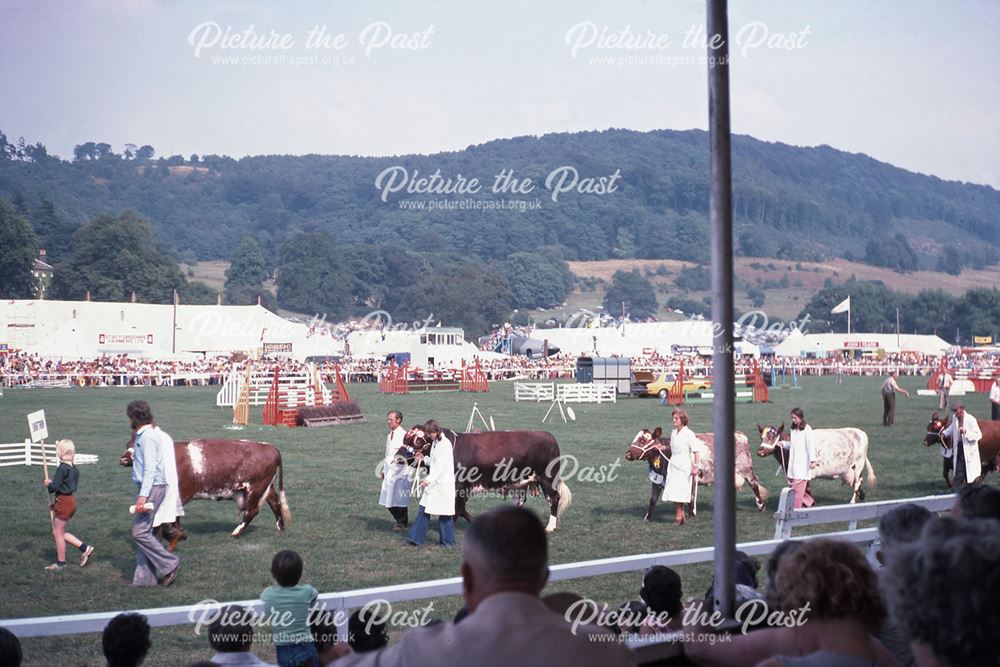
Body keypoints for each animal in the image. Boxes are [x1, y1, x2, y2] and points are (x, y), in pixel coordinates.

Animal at [121, 438, 292, 548]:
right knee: (275, 503)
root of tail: (269, 447)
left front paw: (175, 534)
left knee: (252, 511)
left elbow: (172, 515)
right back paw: (280, 527)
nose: (123, 459)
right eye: (127, 444)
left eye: (139, 447)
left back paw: (235, 533)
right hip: (266, 488)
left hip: (254, 489)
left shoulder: (180, 494)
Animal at [396, 428, 572, 532]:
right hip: (522, 482)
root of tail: (547, 435)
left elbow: (457, 509)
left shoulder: (459, 486)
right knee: (521, 500)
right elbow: (462, 510)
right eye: (404, 439)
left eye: (418, 440)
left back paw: (550, 526)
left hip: (547, 479)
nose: (397, 457)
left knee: (554, 498)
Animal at [620, 428, 768, 520]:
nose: (627, 454)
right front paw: (647, 517)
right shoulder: (657, 481)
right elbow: (653, 500)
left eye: (643, 440)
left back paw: (761, 506)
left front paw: (691, 514)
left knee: (754, 483)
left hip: (746, 469)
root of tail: (740, 434)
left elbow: (689, 497)